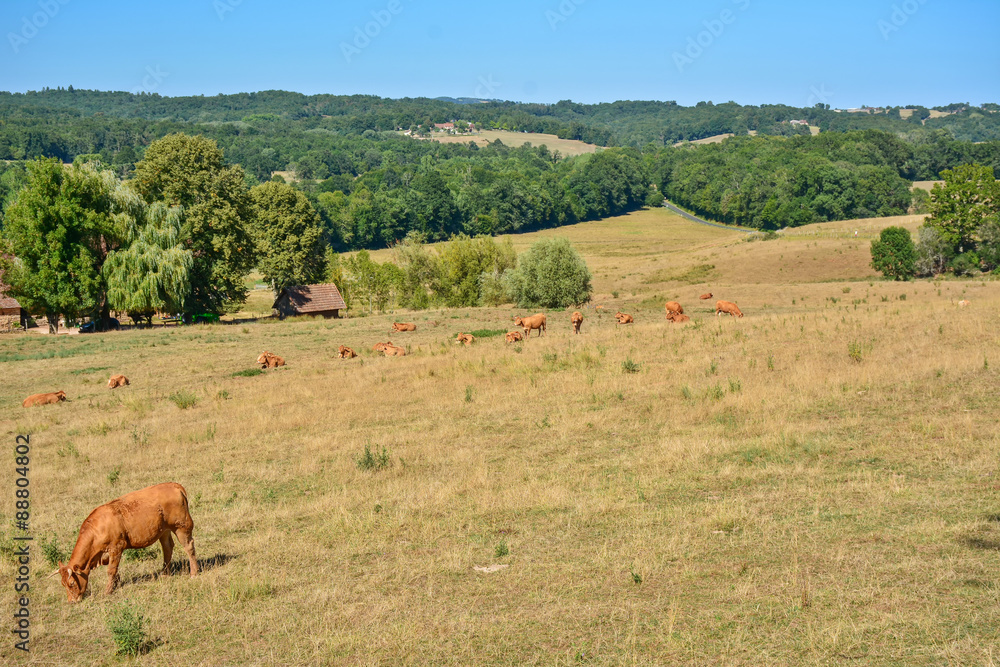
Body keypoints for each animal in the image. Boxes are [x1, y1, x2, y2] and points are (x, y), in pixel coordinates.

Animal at [57, 482, 198, 603]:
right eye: (63, 584)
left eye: (72, 583)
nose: (72, 601)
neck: (97, 529)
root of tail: (174, 485)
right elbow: (114, 569)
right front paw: (116, 583)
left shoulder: (116, 547)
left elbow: (111, 570)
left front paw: (108, 591)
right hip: (164, 530)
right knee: (167, 548)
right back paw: (165, 574)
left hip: (181, 526)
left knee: (189, 547)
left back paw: (193, 573)